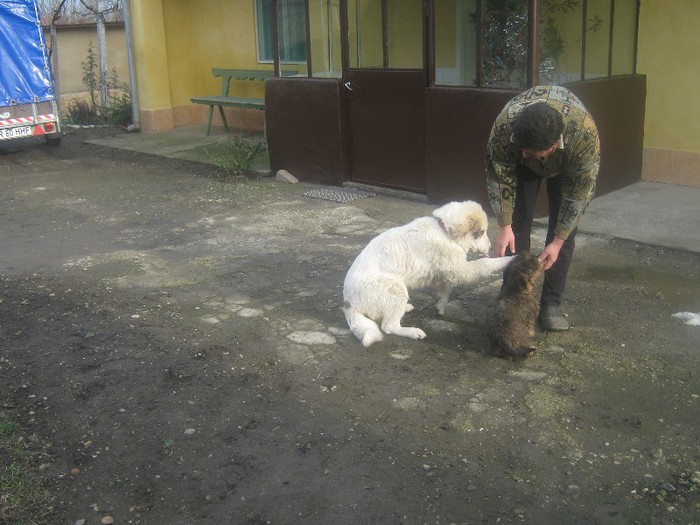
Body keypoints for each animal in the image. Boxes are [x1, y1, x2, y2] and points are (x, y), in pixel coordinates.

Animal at [344, 200, 512, 344]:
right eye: (481, 232)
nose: (491, 247)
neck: (444, 231)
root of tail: (348, 302)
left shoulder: (446, 271)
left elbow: (446, 289)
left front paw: (440, 305)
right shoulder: (460, 270)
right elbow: (485, 263)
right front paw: (510, 258)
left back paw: (406, 307)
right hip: (395, 288)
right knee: (389, 326)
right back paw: (413, 332)